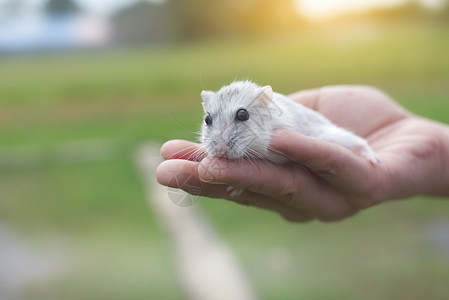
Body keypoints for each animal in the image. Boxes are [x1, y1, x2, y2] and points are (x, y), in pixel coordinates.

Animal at [200, 80, 378, 164]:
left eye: (243, 115)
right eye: (207, 119)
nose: (220, 151)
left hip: (331, 135)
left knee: (358, 141)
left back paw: (373, 159)